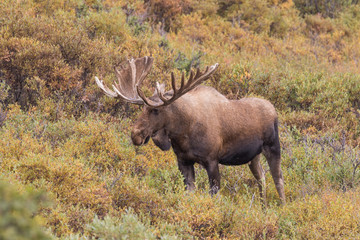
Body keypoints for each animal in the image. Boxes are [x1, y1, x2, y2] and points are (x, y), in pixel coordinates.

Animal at [95, 56, 284, 204]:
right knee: (262, 178)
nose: (135, 134)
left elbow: (214, 194)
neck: (182, 133)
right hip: (254, 156)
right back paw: (263, 207)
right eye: (142, 109)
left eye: (155, 110)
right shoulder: (184, 161)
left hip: (273, 147)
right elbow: (190, 193)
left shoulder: (212, 160)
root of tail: (274, 109)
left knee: (278, 179)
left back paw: (282, 208)